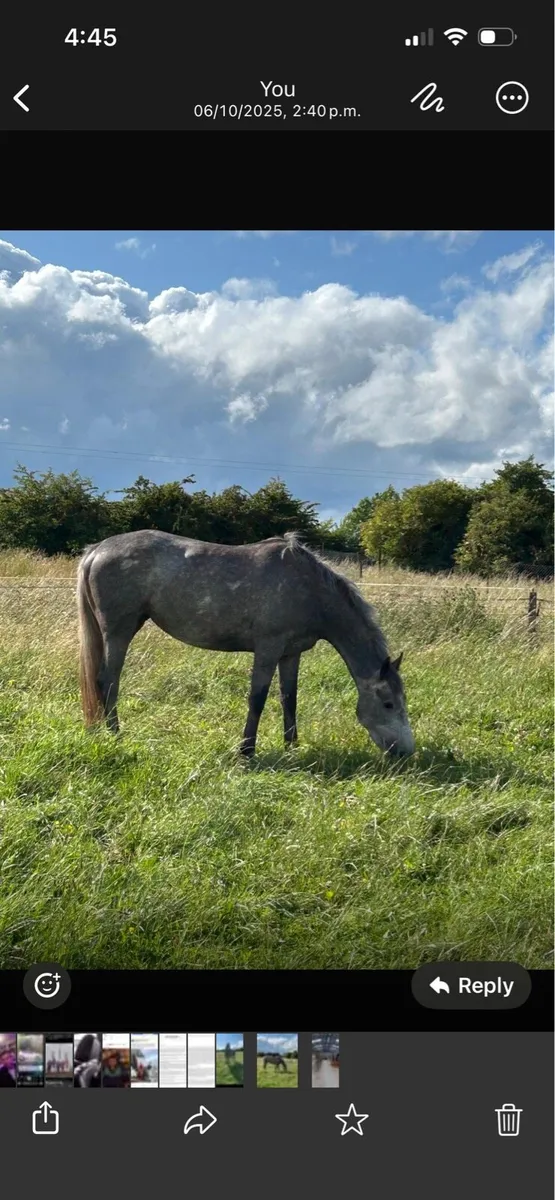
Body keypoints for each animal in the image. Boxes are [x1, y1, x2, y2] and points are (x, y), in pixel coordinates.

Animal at [77, 529, 414, 758]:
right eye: (388, 703)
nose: (405, 752)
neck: (310, 589)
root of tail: (97, 550)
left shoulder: (291, 653)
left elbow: (289, 698)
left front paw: (292, 746)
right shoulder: (267, 649)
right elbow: (258, 698)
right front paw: (246, 750)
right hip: (118, 631)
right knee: (108, 680)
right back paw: (116, 735)